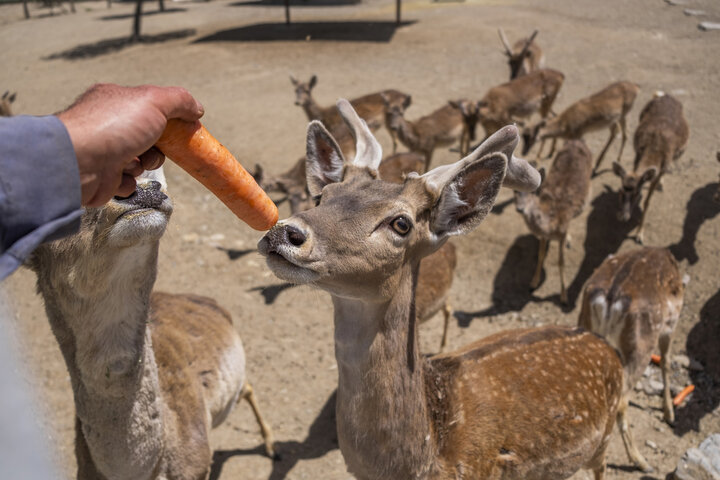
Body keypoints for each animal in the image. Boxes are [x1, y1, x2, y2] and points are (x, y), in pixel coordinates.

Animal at [516, 139, 592, 304]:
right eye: (515, 191)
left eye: (533, 191)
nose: (520, 208)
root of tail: (578, 140)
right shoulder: (544, 236)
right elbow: (541, 255)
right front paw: (533, 283)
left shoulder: (561, 232)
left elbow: (561, 262)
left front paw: (564, 297)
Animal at [580, 248, 688, 472]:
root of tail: (610, 298)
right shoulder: (670, 325)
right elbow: (666, 361)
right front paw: (669, 413)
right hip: (640, 344)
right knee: (622, 401)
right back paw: (641, 461)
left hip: (584, 323)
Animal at [612, 91, 688, 244]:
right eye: (621, 191)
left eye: (636, 193)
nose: (623, 216)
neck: (655, 149)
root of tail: (666, 95)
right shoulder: (637, 156)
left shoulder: (661, 168)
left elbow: (647, 202)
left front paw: (639, 235)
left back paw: (661, 184)